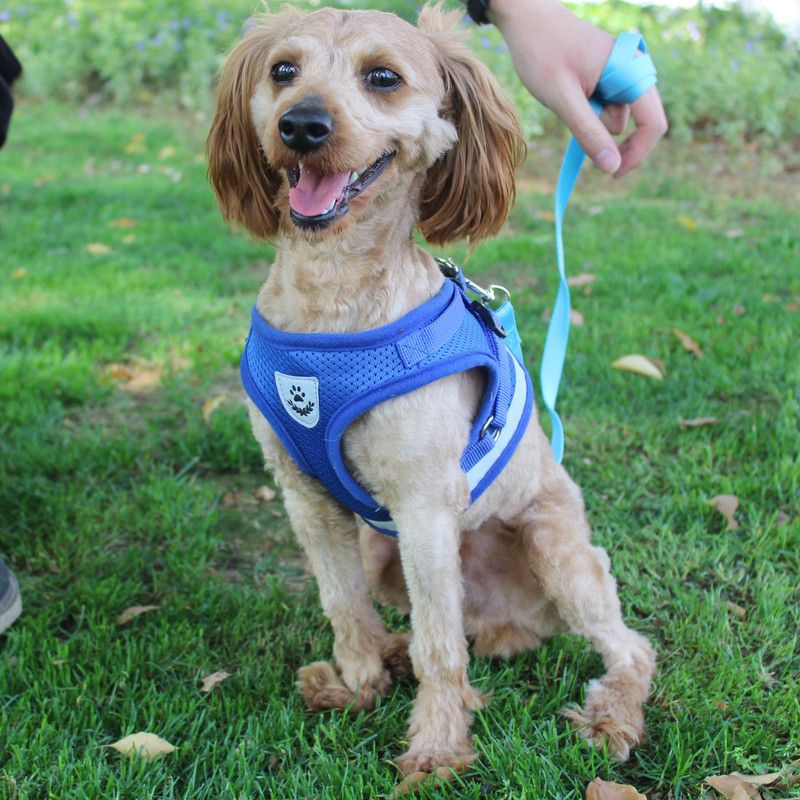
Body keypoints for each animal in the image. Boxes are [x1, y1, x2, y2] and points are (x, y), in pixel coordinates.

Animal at [208, 3, 656, 784]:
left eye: (383, 77)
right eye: (283, 70)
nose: (302, 125)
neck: (332, 303)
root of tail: (504, 621)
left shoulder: (423, 506)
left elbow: (439, 648)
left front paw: (438, 747)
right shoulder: (307, 497)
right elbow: (343, 604)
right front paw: (359, 684)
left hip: (555, 551)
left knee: (628, 648)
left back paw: (611, 717)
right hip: (383, 553)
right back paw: (381, 660)